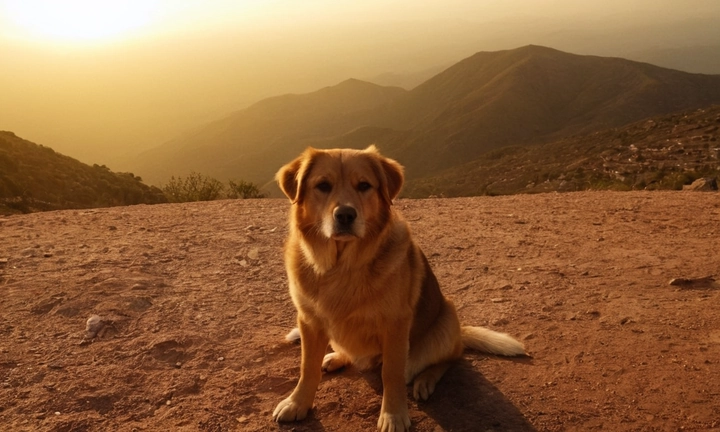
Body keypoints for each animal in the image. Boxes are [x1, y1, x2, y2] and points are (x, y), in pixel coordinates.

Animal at [272, 146, 524, 432]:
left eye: (364, 185)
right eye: (323, 185)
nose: (345, 215)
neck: (342, 267)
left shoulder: (395, 324)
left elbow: (391, 372)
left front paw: (393, 415)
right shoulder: (309, 322)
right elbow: (307, 368)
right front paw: (297, 403)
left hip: (447, 318)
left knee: (448, 358)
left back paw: (425, 380)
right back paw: (337, 357)